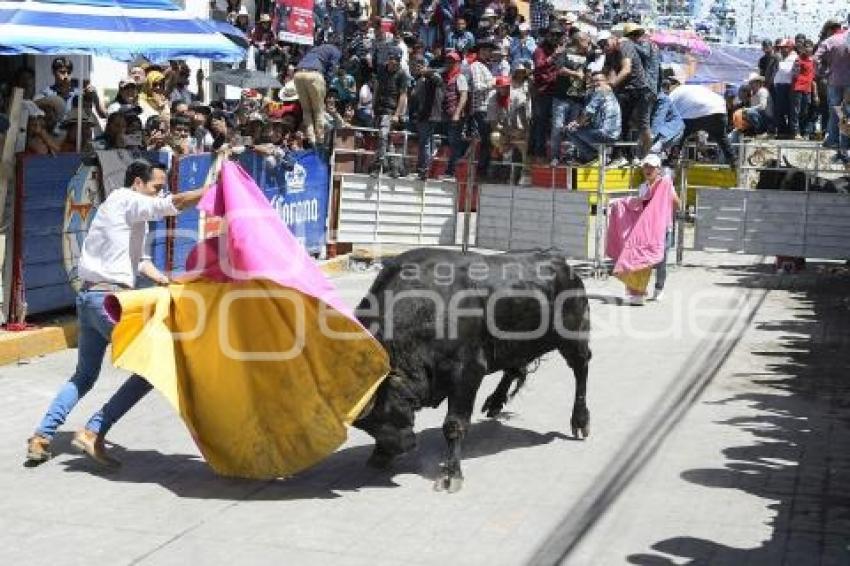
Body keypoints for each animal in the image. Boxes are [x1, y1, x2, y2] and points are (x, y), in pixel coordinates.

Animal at [352, 248, 588, 492]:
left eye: (382, 411)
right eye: (366, 423)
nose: (403, 446)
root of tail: (560, 260)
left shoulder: (468, 372)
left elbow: (454, 424)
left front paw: (451, 474)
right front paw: (378, 455)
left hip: (573, 339)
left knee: (581, 368)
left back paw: (580, 420)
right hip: (514, 345)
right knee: (514, 368)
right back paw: (495, 402)